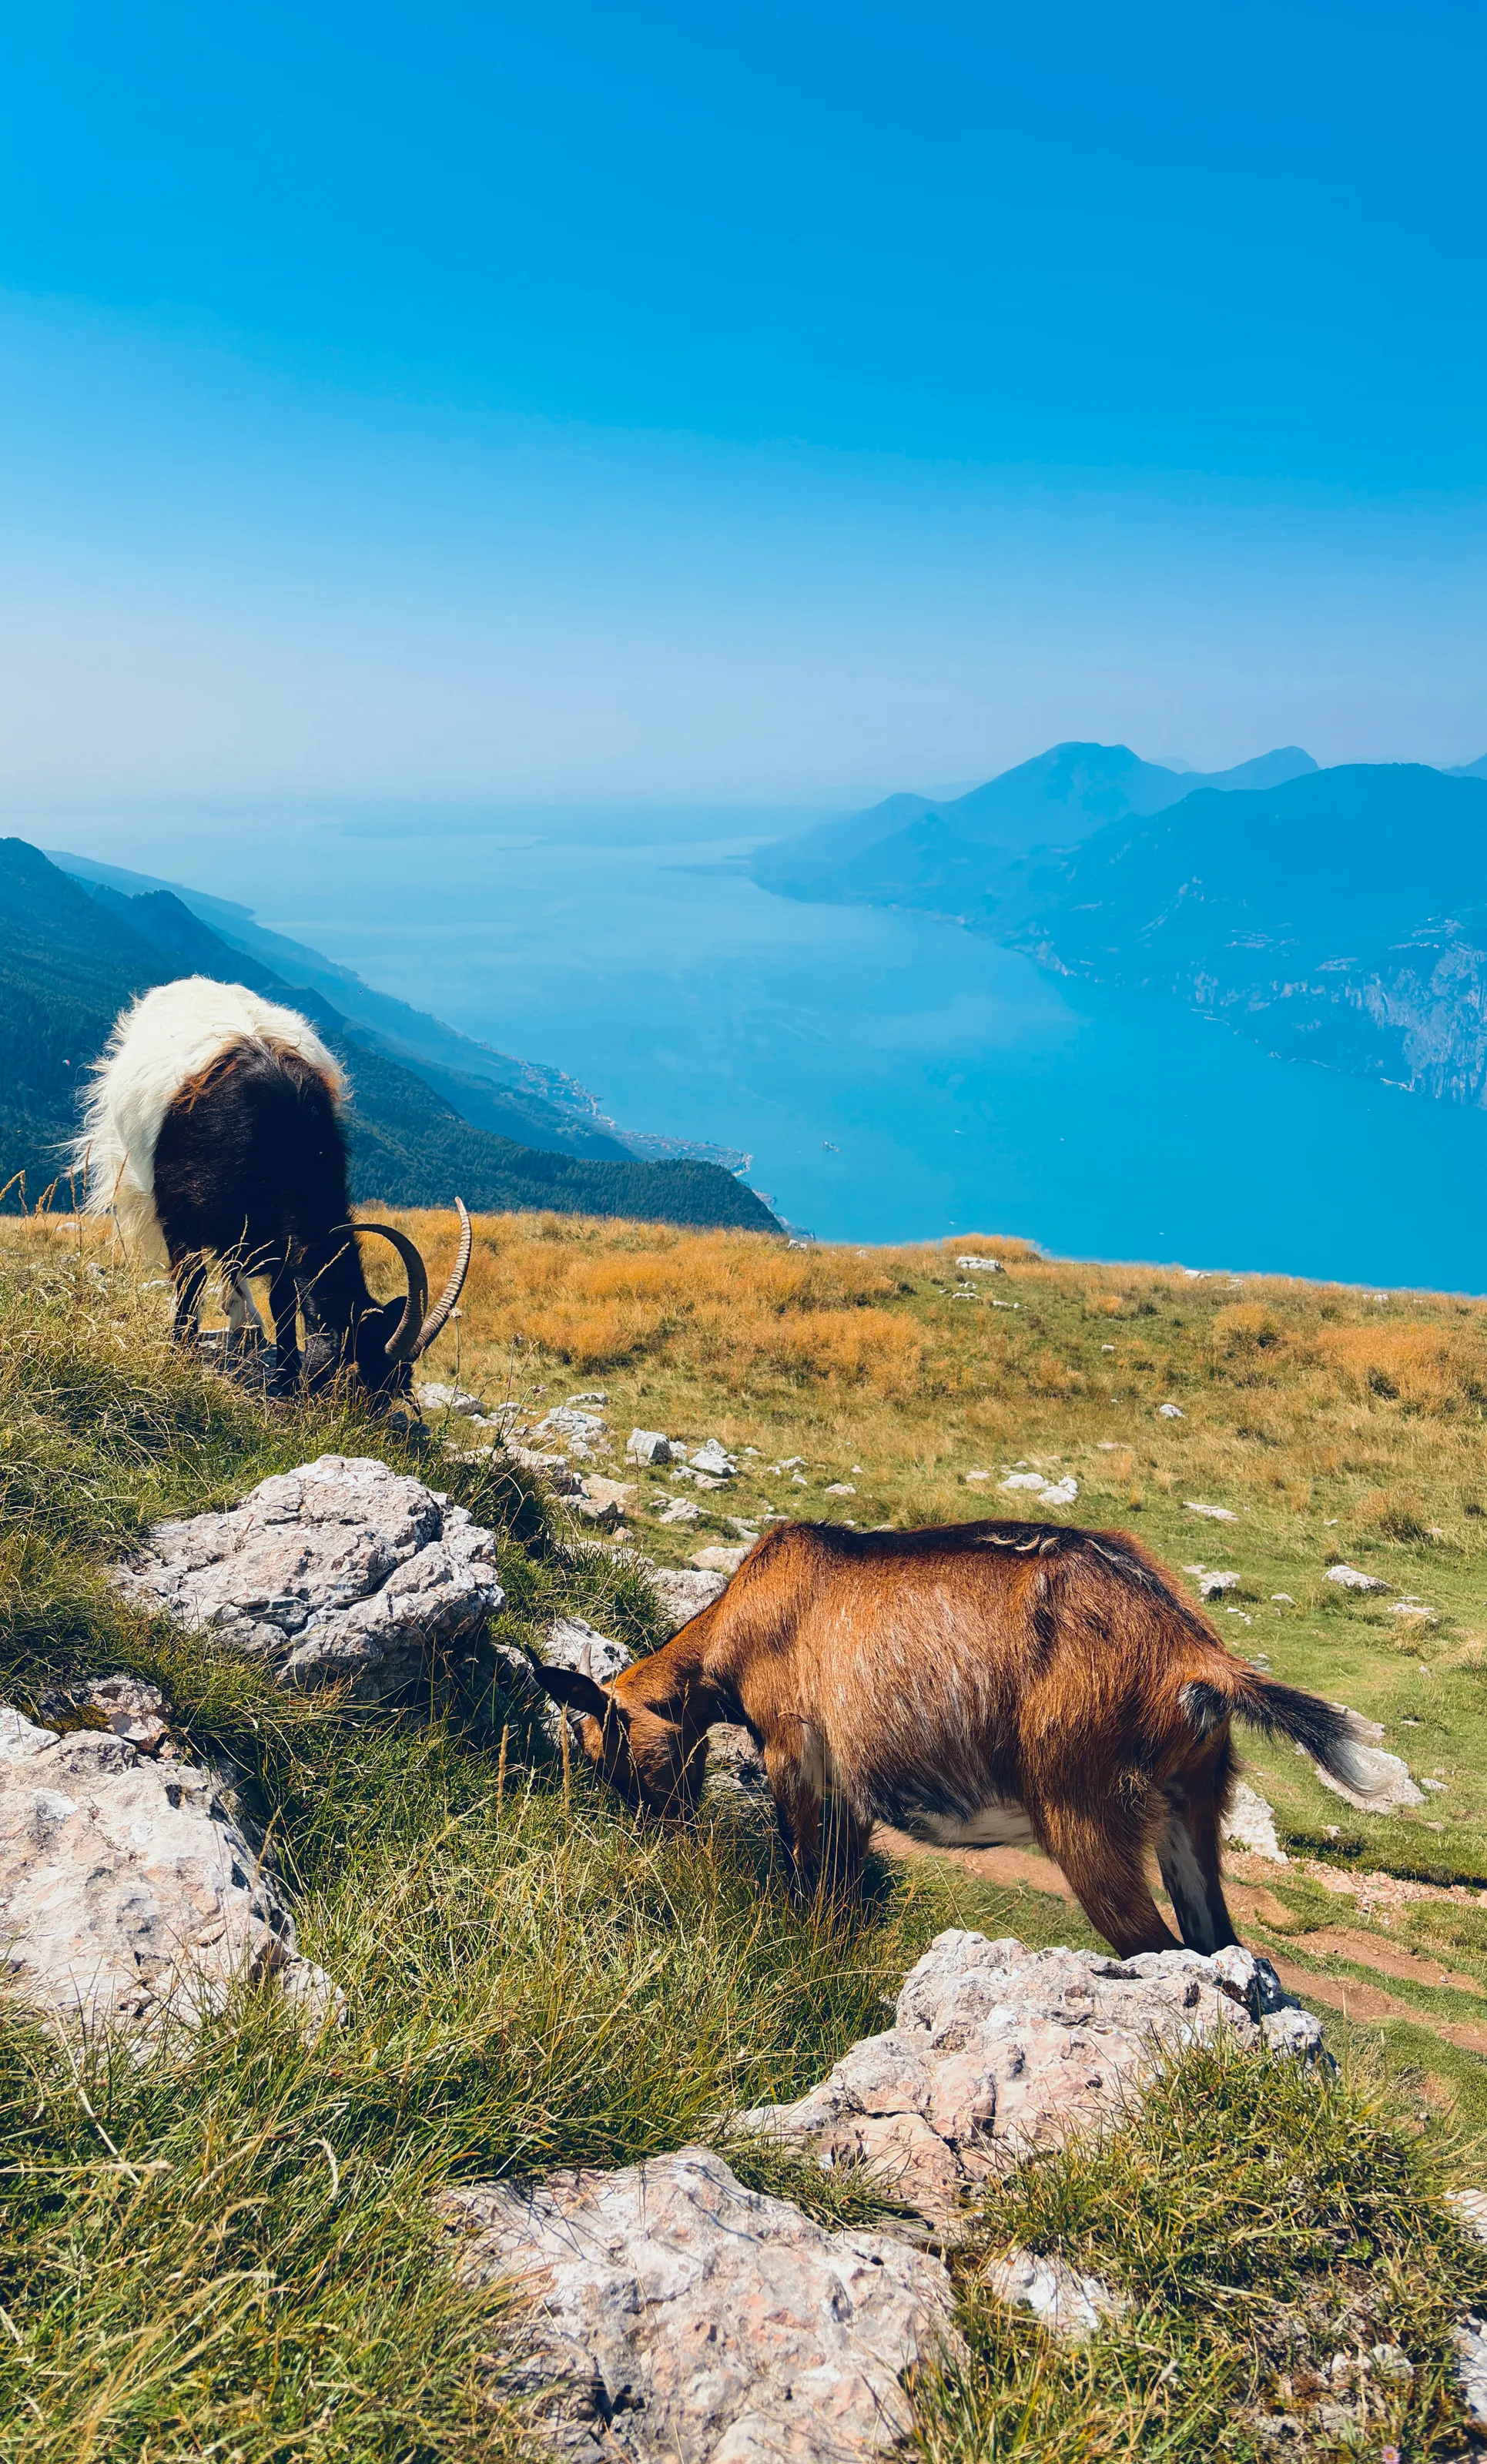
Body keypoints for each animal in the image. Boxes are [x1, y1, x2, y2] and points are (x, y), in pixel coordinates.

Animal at [73, 977, 471, 1399]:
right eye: (354, 1381)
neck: (283, 1148)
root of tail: (193, 982)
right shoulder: (178, 1213)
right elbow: (191, 1281)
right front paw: (180, 1353)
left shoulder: (276, 1238)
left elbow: (283, 1299)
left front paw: (286, 1376)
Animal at [525, 1516, 1387, 1958]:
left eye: (604, 1754)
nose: (659, 1837)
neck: (740, 1625)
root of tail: (1192, 1653)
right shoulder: (849, 1788)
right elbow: (841, 1893)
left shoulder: (792, 1755)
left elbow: (804, 1876)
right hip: (1191, 1806)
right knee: (1216, 1943)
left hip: (1083, 1808)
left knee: (1157, 1947)